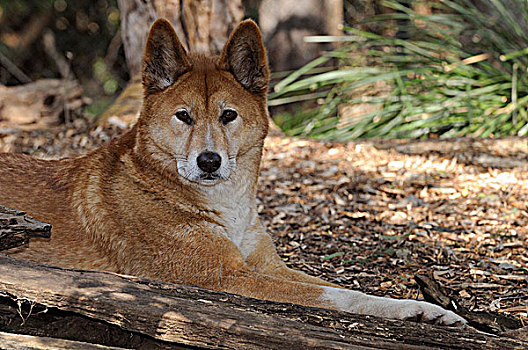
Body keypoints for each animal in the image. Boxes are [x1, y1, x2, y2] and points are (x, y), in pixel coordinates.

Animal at [0, 19, 464, 326]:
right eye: (183, 116)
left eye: (228, 116)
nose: (209, 161)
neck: (227, 206)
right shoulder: (227, 276)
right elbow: (330, 295)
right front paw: (415, 310)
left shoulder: (267, 266)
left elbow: (346, 288)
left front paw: (426, 308)